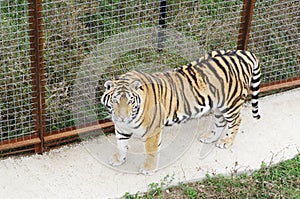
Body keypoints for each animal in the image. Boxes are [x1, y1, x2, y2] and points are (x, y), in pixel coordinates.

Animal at [101, 49, 260, 174]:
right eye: (115, 101)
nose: (122, 117)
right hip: (218, 105)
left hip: (231, 103)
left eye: (130, 101)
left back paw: (226, 141)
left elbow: (151, 150)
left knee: (236, 121)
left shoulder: (153, 130)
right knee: (220, 122)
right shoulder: (121, 128)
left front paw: (148, 169)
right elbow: (121, 144)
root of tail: (243, 52)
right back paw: (210, 138)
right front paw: (119, 159)